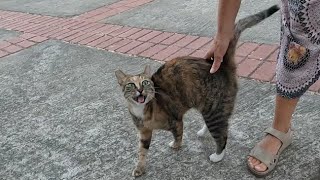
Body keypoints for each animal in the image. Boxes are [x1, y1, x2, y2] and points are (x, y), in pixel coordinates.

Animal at [115, 4, 280, 176]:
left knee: (222, 134)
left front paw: (176, 145)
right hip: (211, 108)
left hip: (214, 111)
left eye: (146, 82)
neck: (143, 110)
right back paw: (203, 131)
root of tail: (223, 66)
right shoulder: (144, 133)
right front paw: (139, 168)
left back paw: (218, 155)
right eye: (130, 85)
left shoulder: (176, 120)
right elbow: (142, 151)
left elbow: (178, 134)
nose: (140, 90)